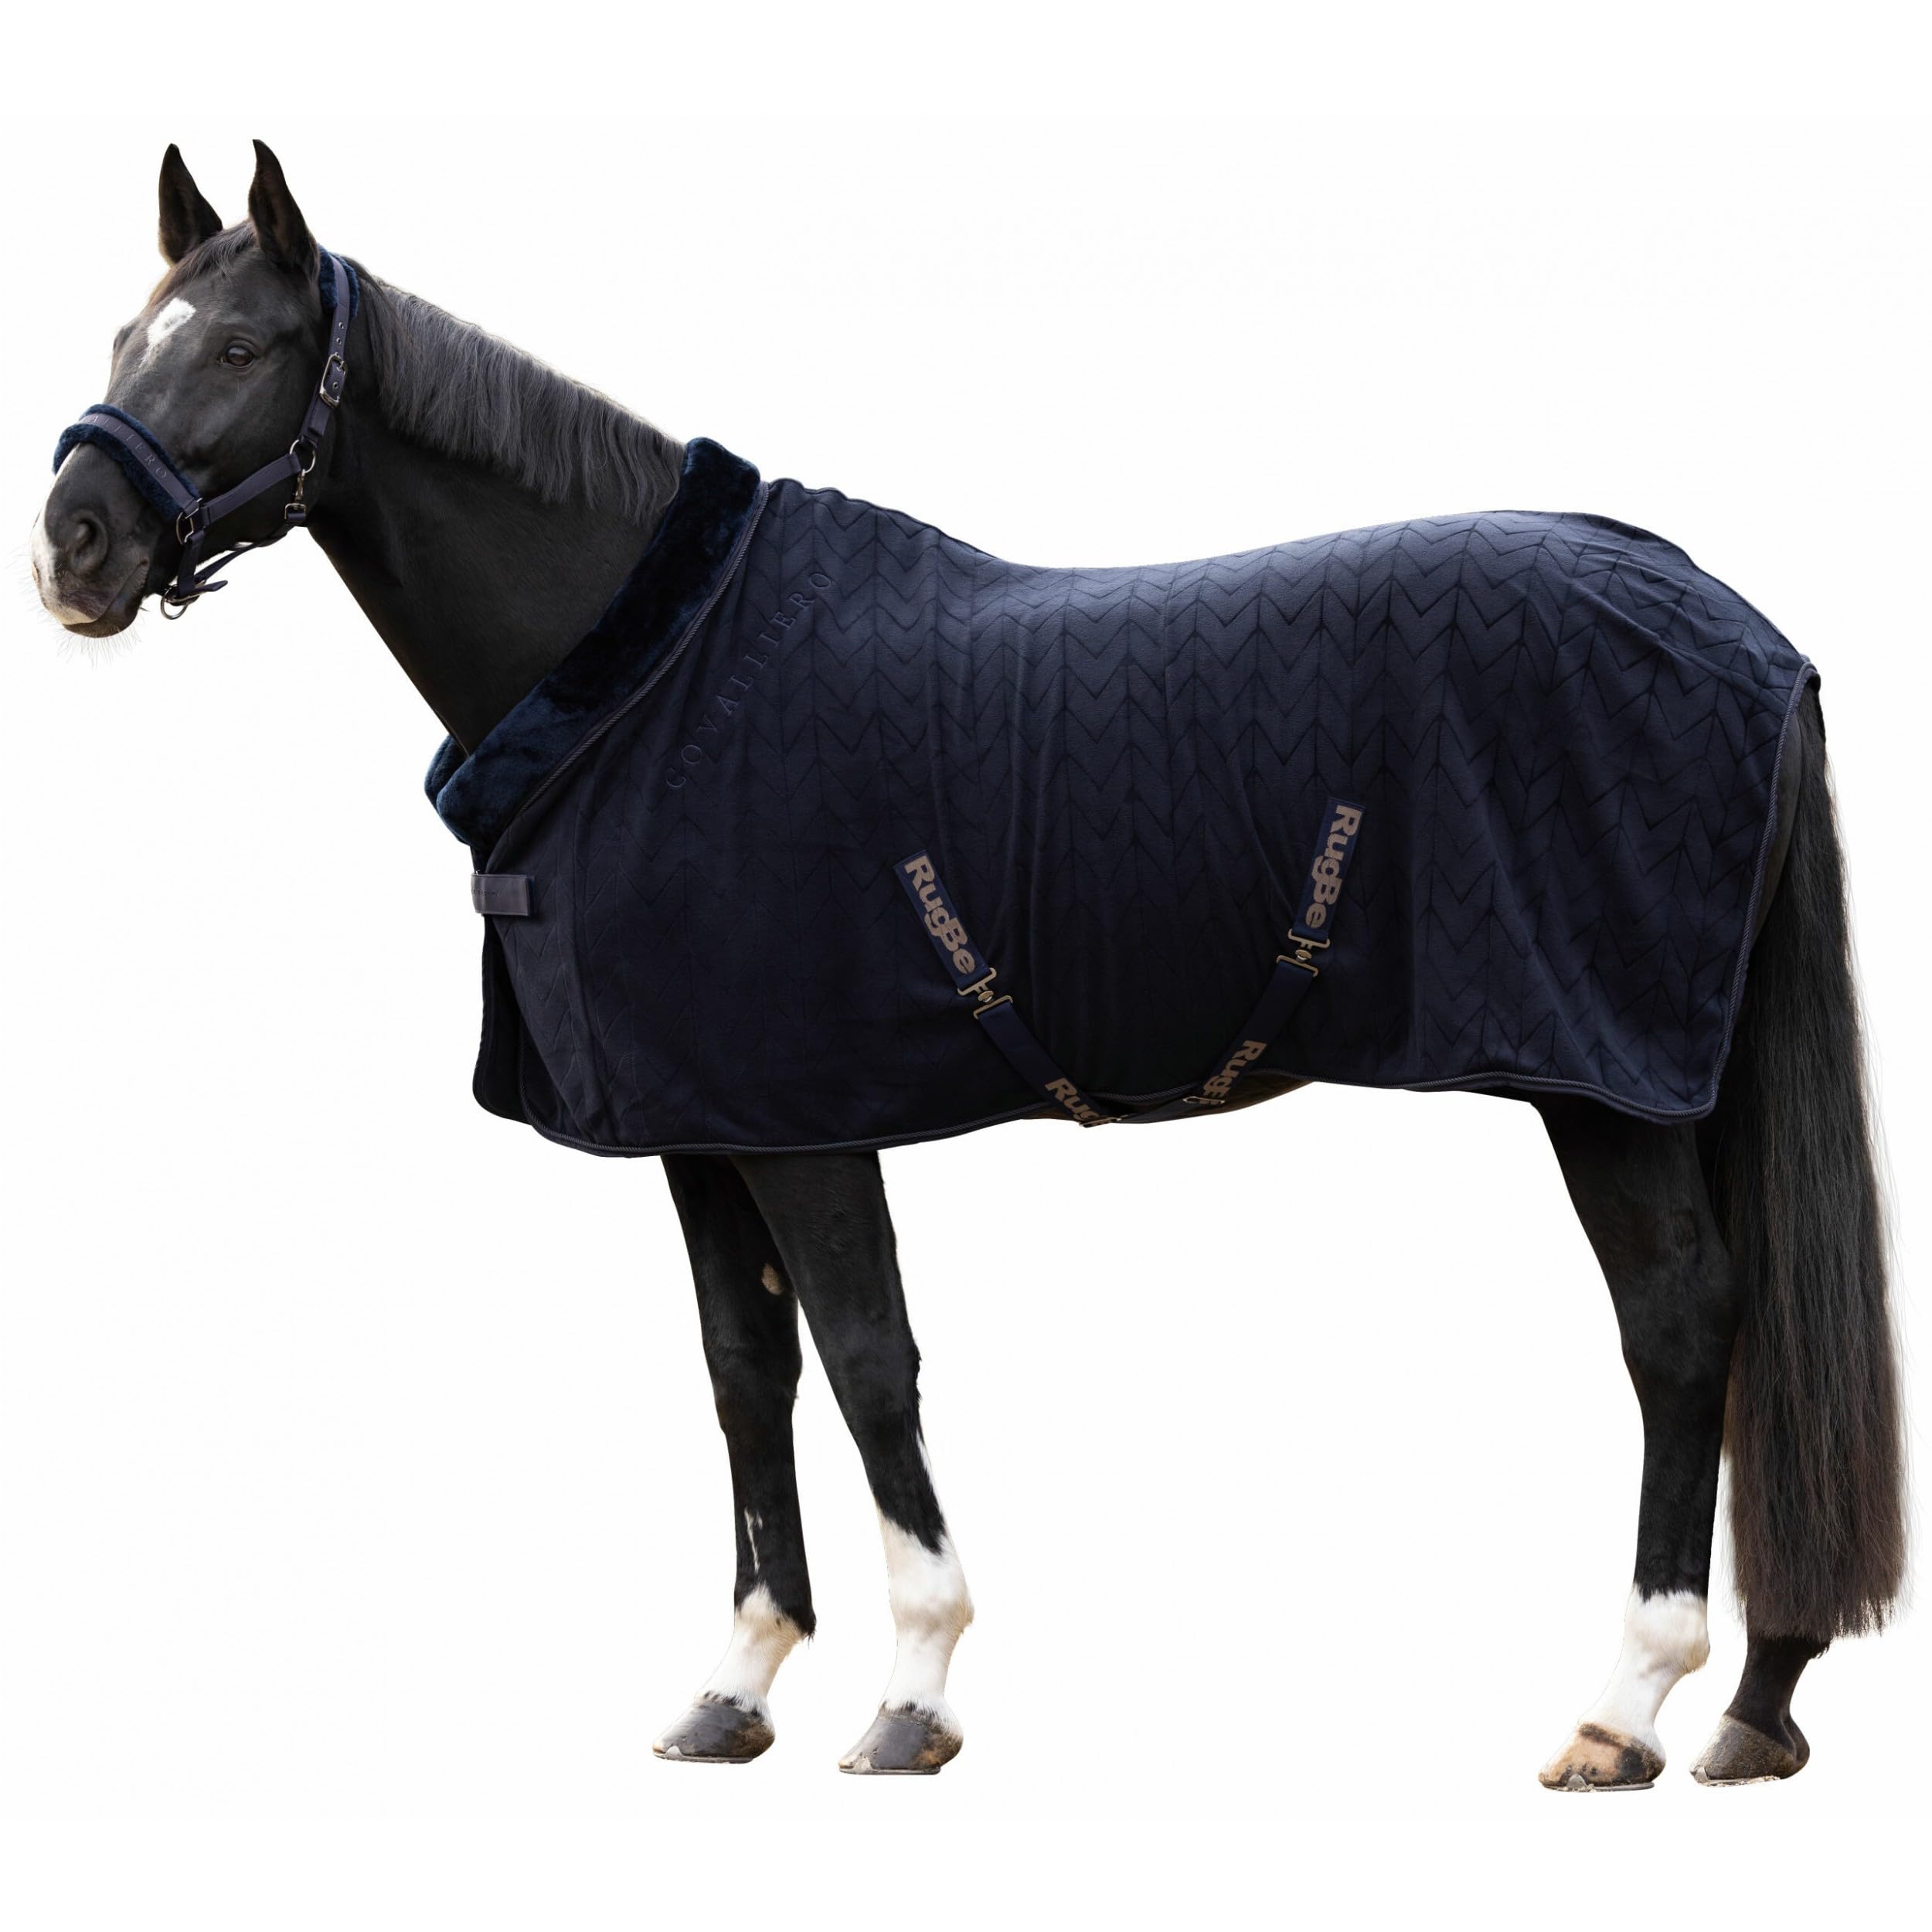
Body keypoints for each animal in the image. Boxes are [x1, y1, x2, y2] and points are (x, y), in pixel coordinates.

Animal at [32, 141, 1904, 1784]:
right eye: (129, 339)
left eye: (246, 347)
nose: (73, 548)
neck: (650, 680)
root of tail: (1743, 630)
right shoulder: (698, 1125)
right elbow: (747, 1373)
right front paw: (733, 1688)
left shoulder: (804, 1121)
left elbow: (870, 1360)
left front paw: (911, 1695)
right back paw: (1756, 1704)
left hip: (1604, 1086)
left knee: (1682, 1325)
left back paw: (1626, 1706)